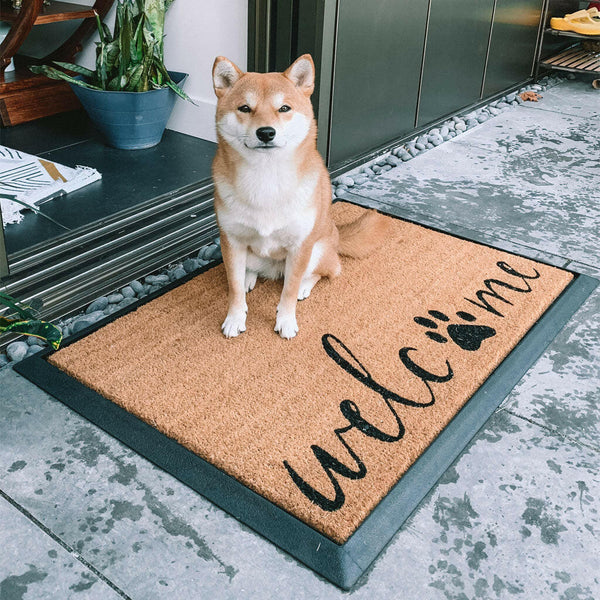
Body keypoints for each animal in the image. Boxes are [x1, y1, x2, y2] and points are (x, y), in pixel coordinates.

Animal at [213, 54, 386, 340]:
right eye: (245, 108)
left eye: (284, 108)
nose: (266, 132)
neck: (265, 178)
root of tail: (336, 233)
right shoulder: (231, 241)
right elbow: (233, 287)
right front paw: (235, 317)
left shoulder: (300, 246)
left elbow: (289, 291)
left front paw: (286, 320)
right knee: (249, 270)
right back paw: (249, 277)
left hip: (318, 250)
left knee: (328, 270)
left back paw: (306, 284)